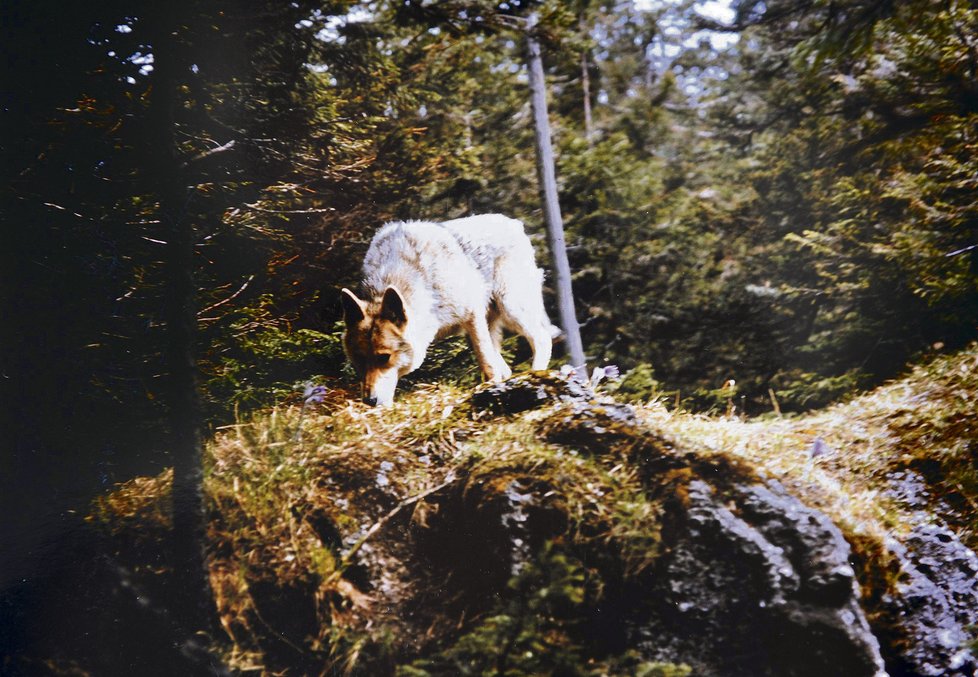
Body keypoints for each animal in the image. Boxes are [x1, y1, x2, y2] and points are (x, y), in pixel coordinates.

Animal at [344, 214, 556, 404]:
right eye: (359, 359)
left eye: (384, 357)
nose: (369, 401)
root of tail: (514, 223)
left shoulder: (472, 316)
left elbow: (485, 360)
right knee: (506, 366)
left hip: (511, 309)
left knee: (542, 339)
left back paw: (535, 374)